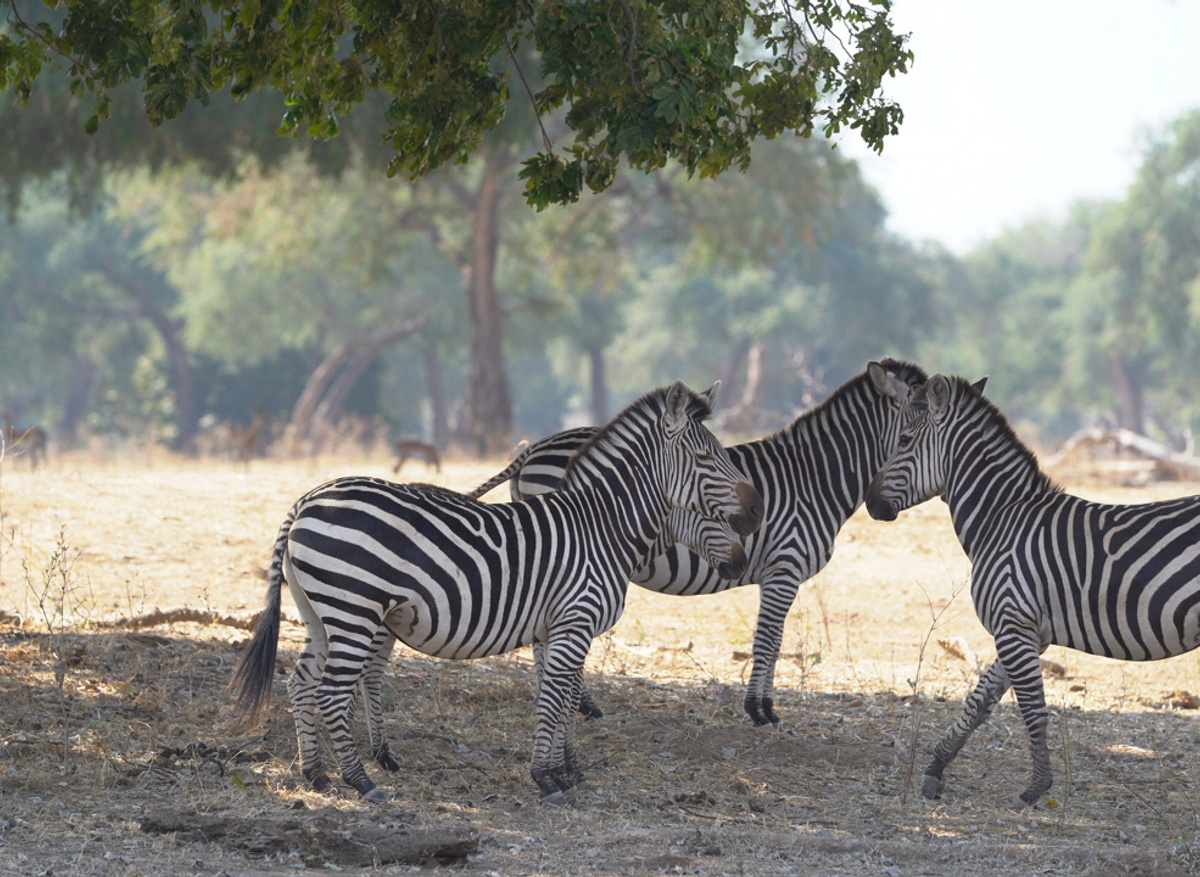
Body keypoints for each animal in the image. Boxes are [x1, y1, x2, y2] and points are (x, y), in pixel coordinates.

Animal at [230, 380, 763, 804]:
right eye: (705, 458)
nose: (756, 516)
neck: (603, 527)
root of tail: (307, 499)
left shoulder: (557, 628)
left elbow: (562, 696)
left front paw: (568, 771)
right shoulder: (575, 621)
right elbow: (556, 698)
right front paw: (547, 779)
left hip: (321, 612)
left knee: (301, 684)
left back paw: (316, 775)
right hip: (354, 611)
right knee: (331, 692)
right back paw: (362, 782)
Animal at [469, 359, 929, 726]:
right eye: (916, 429)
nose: (880, 507)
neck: (815, 477)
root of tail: (534, 449)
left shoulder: (780, 575)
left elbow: (773, 640)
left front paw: (763, 707)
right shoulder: (784, 569)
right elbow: (769, 640)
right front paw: (760, 711)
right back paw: (580, 704)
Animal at [864, 373, 1200, 809]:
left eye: (904, 440)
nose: (869, 503)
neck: (999, 519)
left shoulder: (1013, 625)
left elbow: (1032, 710)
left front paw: (1035, 788)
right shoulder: (1027, 631)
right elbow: (980, 701)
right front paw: (935, 770)